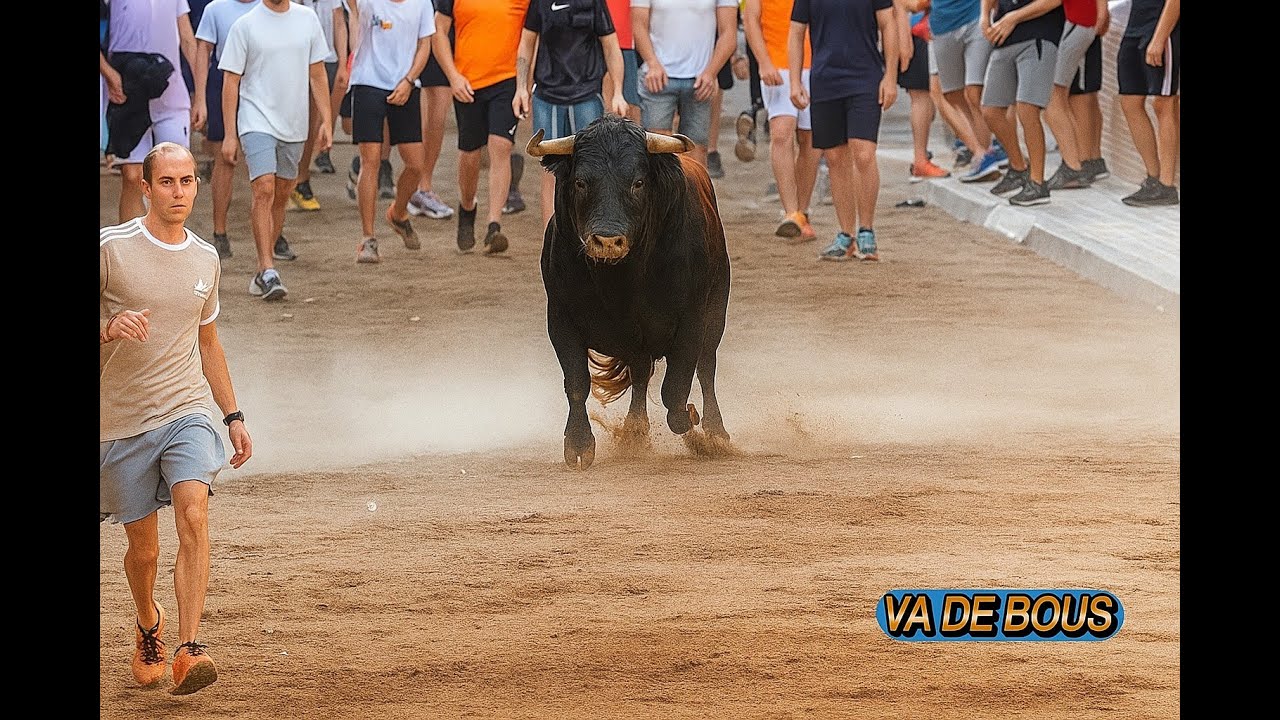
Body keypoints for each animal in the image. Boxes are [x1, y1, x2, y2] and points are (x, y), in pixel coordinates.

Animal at [527, 115, 732, 470]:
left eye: (637, 182)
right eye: (580, 182)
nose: (607, 241)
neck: (622, 280)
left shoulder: (691, 321)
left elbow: (675, 391)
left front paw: (692, 420)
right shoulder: (561, 320)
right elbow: (577, 383)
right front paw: (579, 445)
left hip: (715, 313)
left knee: (706, 368)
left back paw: (715, 433)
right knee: (639, 374)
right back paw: (635, 429)